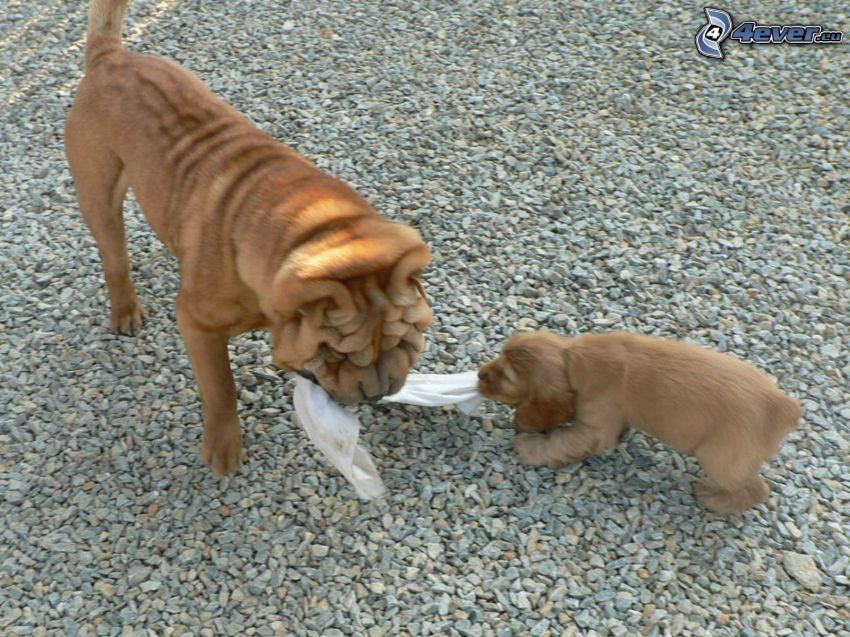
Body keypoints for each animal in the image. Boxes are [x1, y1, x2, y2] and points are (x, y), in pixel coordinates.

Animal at [66, 0, 430, 474]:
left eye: (406, 338)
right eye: (336, 354)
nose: (377, 392)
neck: (321, 232)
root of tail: (109, 58)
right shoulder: (198, 324)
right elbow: (221, 387)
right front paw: (224, 448)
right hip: (99, 193)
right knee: (114, 256)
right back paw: (126, 309)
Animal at [476, 330, 800, 516]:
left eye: (505, 377)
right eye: (498, 356)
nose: (479, 374)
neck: (572, 358)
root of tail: (782, 405)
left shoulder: (593, 428)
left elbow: (560, 441)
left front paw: (528, 447)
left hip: (721, 458)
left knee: (755, 490)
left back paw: (715, 500)